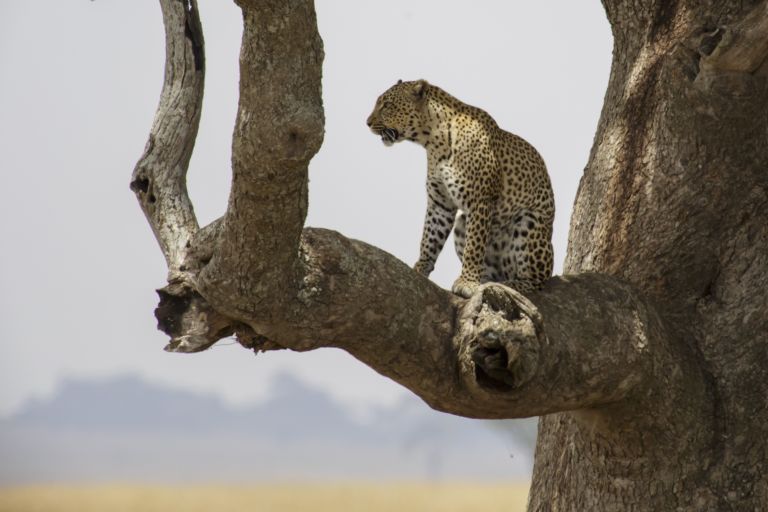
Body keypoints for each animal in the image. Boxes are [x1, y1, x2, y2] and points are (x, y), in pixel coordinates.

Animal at [366, 79, 555, 298]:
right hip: (461, 224)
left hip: (529, 222)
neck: (433, 140)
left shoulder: (480, 201)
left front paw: (467, 282)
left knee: (537, 280)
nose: (367, 122)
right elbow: (429, 238)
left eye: (387, 105)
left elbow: (474, 246)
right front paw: (419, 270)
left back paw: (509, 285)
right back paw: (487, 280)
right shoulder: (440, 203)